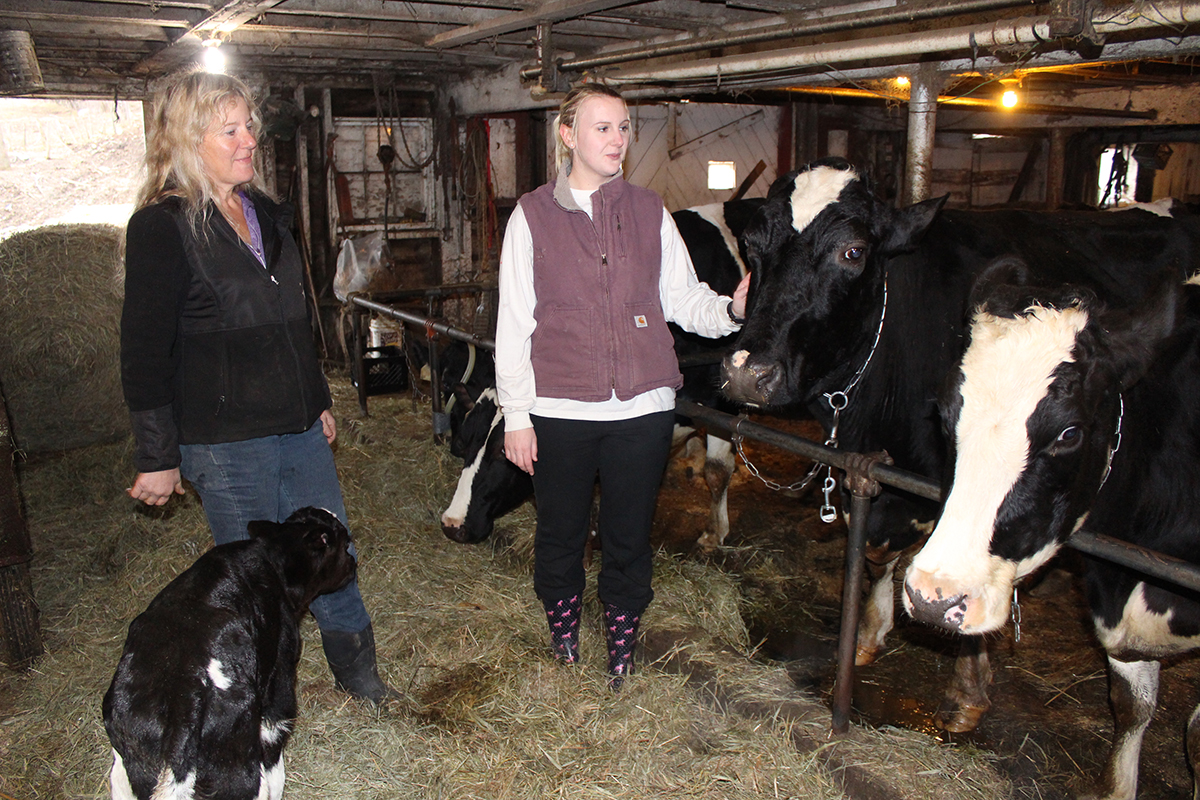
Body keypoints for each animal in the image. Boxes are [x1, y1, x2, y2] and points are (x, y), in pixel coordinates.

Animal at [102, 506, 355, 800]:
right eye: (343, 542)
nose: (353, 563)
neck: (272, 561)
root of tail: (184, 693)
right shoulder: (279, 677)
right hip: (237, 769)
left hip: (133, 768)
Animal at [439, 200, 758, 551]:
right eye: (467, 437)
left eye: (501, 451)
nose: (452, 524)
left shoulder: (723, 403)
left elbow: (717, 470)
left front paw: (714, 533)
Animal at [720, 155, 1200, 734]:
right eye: (751, 242)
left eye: (853, 251)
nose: (748, 374)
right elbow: (876, 554)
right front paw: (867, 634)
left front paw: (967, 689)